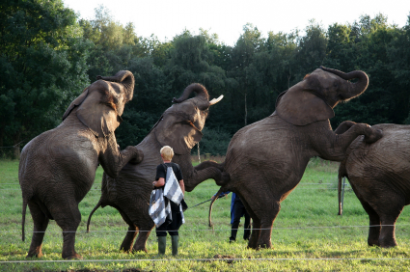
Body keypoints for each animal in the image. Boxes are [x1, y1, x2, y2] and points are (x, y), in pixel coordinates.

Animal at [19, 70, 144, 260]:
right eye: (119, 95)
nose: (102, 75)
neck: (84, 103)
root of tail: (27, 182)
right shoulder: (104, 135)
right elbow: (113, 166)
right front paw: (138, 155)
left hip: (37, 191)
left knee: (39, 220)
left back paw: (34, 256)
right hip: (56, 184)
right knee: (71, 218)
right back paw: (73, 257)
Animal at [87, 83, 226, 253]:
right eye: (197, 109)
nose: (174, 97)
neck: (164, 123)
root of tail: (105, 194)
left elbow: (204, 165)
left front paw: (222, 166)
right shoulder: (178, 149)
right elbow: (190, 180)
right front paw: (222, 177)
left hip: (124, 197)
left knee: (132, 225)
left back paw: (125, 250)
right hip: (134, 193)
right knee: (147, 222)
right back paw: (142, 251)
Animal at [205, 66, 384, 249]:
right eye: (334, 85)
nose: (321, 66)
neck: (301, 87)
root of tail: (226, 167)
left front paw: (352, 125)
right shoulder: (310, 126)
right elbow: (334, 151)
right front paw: (375, 134)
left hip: (245, 186)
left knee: (255, 214)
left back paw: (253, 247)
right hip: (251, 178)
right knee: (270, 209)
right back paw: (267, 247)